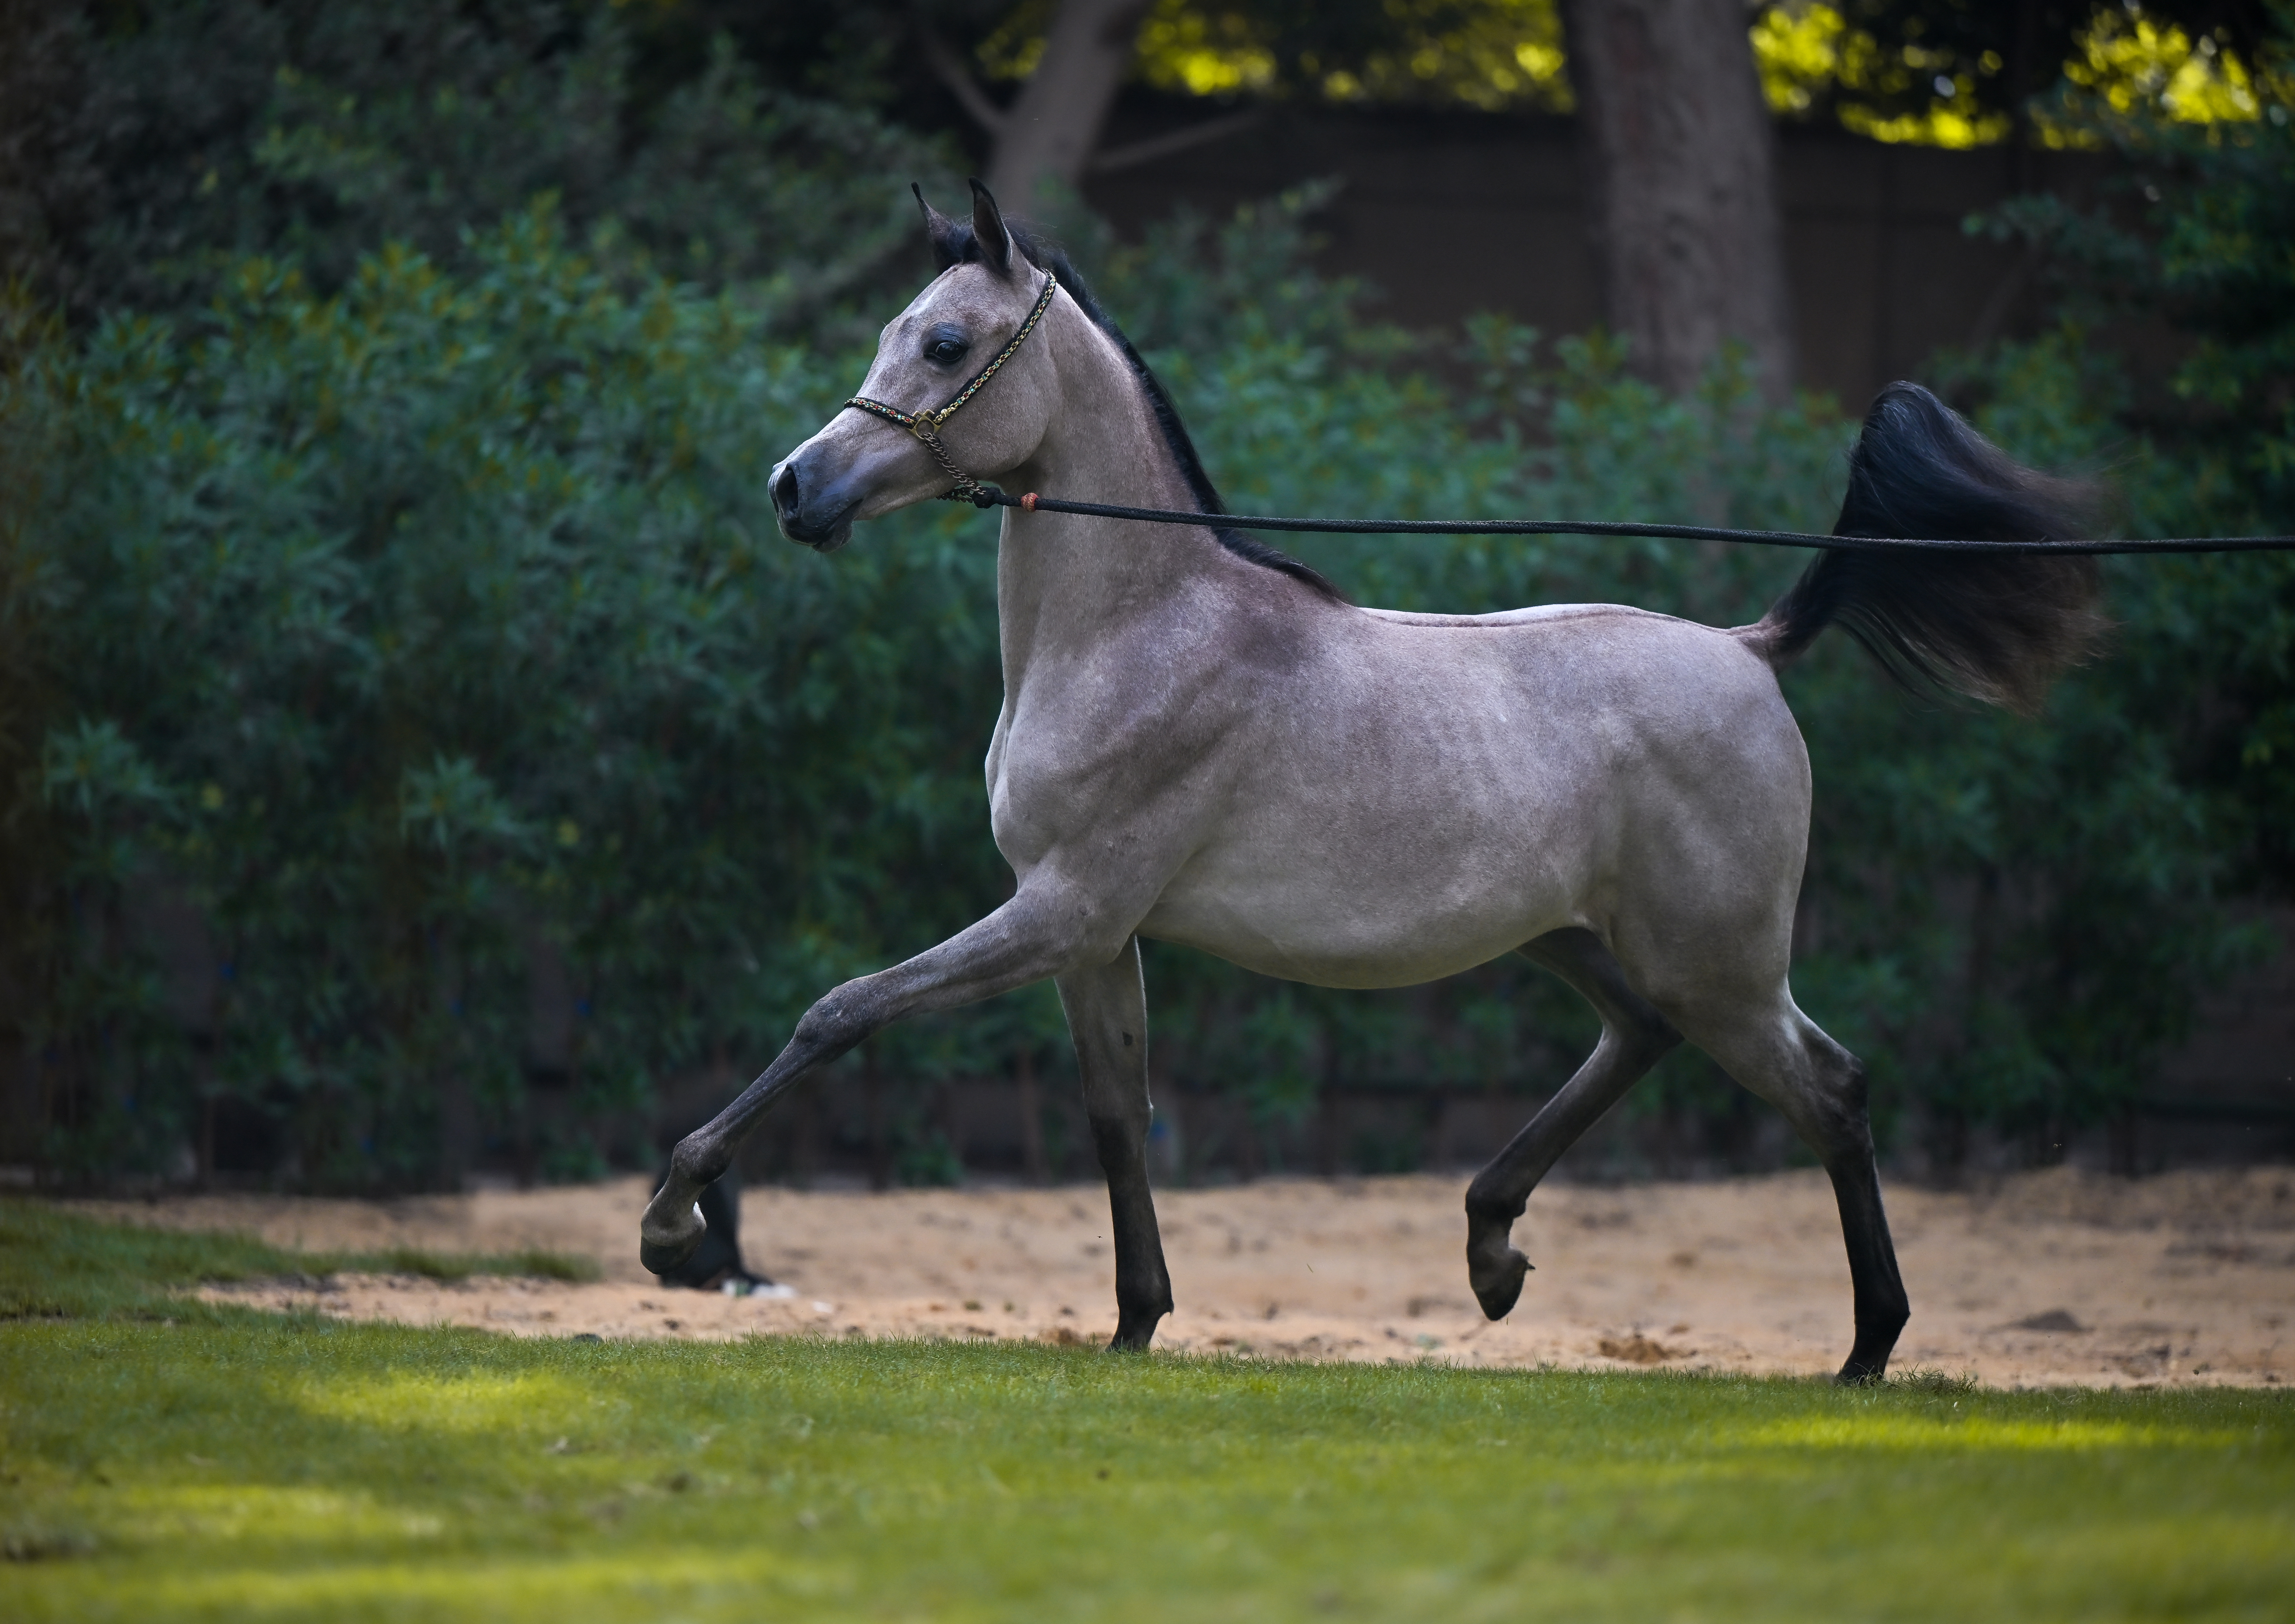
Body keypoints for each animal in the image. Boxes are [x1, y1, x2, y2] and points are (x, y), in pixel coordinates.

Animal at [641, 180, 2103, 1381]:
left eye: (944, 344)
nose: (796, 487)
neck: (1138, 629)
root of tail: (1752, 648)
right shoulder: (1095, 937)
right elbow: (1117, 1118)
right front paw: (1134, 1323)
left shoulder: (1061, 910)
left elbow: (840, 1011)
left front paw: (678, 1218)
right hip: (1579, 938)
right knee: (1639, 1036)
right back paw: (1492, 1249)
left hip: (1723, 966)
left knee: (1831, 1088)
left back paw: (1867, 1348)